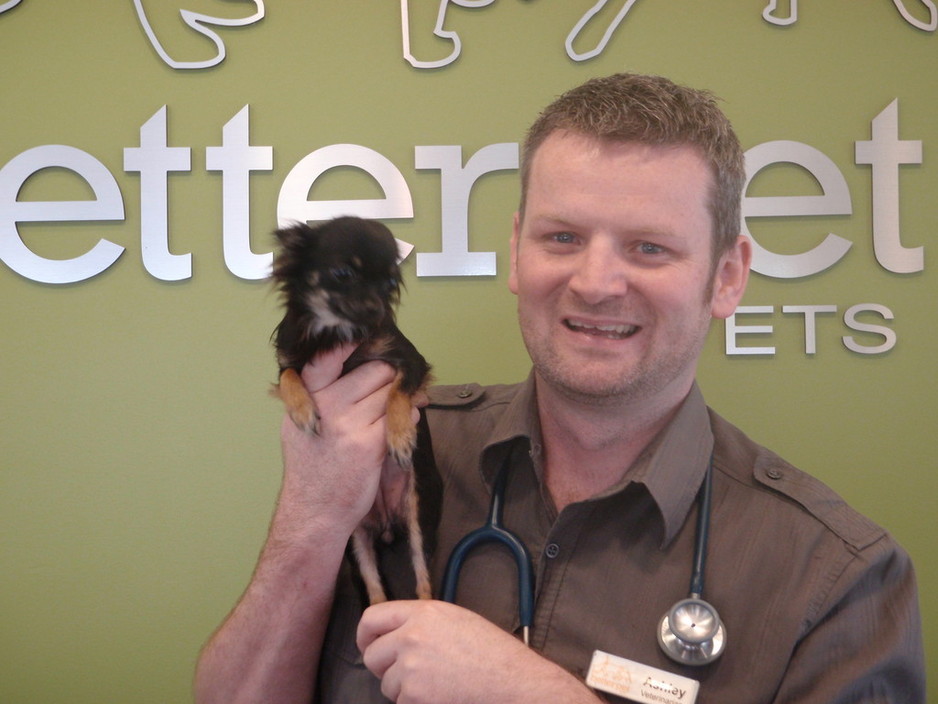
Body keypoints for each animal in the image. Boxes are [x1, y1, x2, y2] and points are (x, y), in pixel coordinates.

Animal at [268, 216, 434, 604]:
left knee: (422, 578)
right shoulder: (289, 360)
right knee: (374, 589)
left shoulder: (410, 362)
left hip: (417, 518)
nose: (375, 309)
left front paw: (400, 437)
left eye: (389, 283)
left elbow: (398, 394)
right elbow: (290, 379)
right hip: (354, 539)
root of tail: (386, 524)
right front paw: (303, 412)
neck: (335, 331)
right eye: (342, 273)